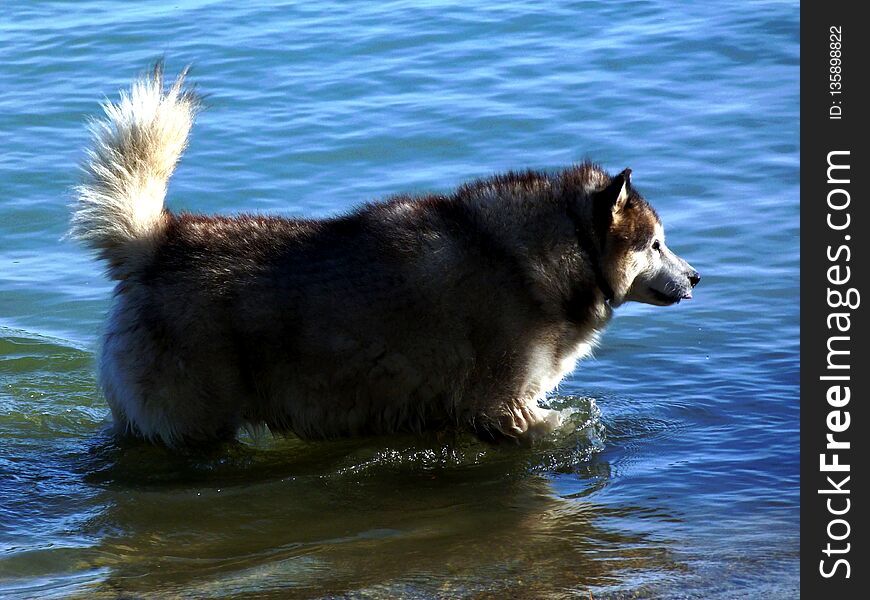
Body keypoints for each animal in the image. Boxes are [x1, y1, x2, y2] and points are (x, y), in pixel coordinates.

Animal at [73, 65, 700, 446]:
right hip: (194, 422)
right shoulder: (504, 406)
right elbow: (555, 427)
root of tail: (159, 240)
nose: (697, 276)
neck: (548, 253)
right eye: (656, 244)